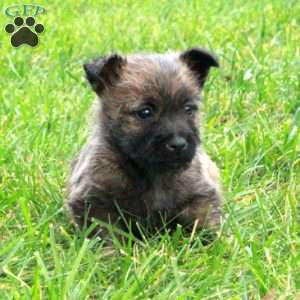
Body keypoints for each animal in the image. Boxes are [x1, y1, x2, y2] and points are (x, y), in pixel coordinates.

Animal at [67, 47, 223, 241]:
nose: (179, 144)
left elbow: (206, 223)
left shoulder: (200, 195)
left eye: (188, 109)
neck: (151, 173)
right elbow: (107, 234)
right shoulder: (93, 200)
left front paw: (217, 244)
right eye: (145, 112)